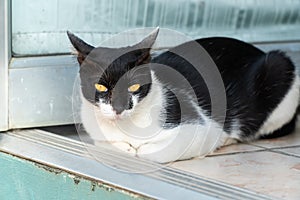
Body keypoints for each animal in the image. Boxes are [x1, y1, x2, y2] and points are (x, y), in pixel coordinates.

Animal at [67, 27, 298, 162]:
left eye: (134, 87)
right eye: (100, 88)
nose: (119, 108)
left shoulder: (199, 126)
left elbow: (149, 152)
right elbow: (109, 145)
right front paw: (124, 147)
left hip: (279, 66)